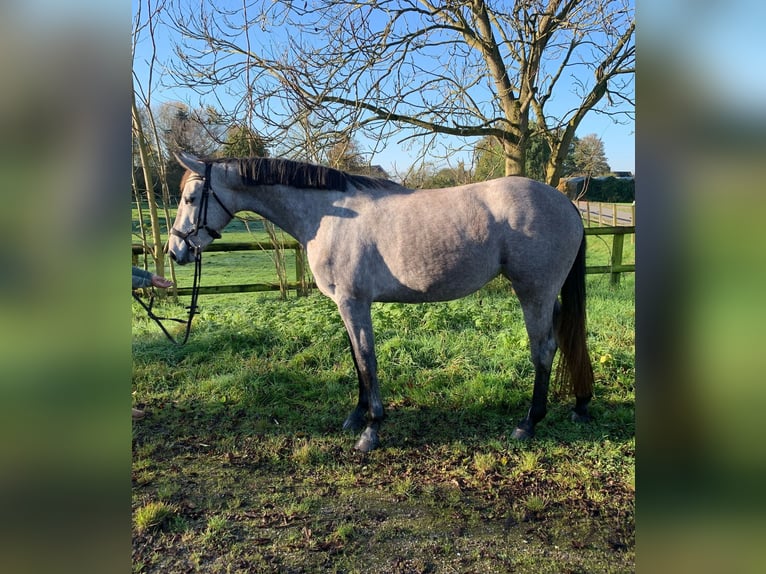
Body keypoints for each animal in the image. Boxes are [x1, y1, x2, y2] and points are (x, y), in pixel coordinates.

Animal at [168, 154, 596, 454]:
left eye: (191, 197)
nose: (175, 251)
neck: (329, 216)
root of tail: (566, 202)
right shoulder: (347, 304)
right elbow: (357, 359)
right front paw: (357, 417)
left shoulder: (353, 302)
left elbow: (366, 359)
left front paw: (371, 429)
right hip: (548, 296)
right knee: (567, 338)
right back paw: (579, 403)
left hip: (534, 292)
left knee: (543, 349)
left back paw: (529, 423)